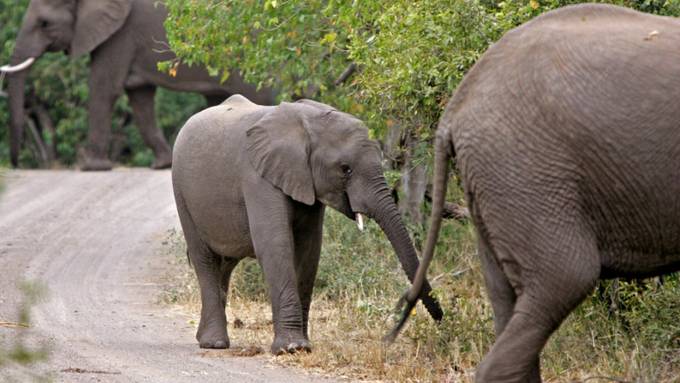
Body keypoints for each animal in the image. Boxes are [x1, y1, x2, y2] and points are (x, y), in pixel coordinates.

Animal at [3, 0, 274, 171]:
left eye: (45, 23)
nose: (16, 165)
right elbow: (139, 97)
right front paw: (162, 165)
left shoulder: (121, 33)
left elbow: (104, 88)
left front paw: (92, 168)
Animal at [173, 94, 444, 356]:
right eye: (345, 169)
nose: (442, 320)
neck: (307, 123)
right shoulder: (257, 177)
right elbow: (275, 244)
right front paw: (292, 348)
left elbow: (309, 248)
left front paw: (303, 345)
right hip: (181, 192)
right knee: (205, 259)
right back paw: (214, 343)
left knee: (226, 264)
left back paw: (205, 337)